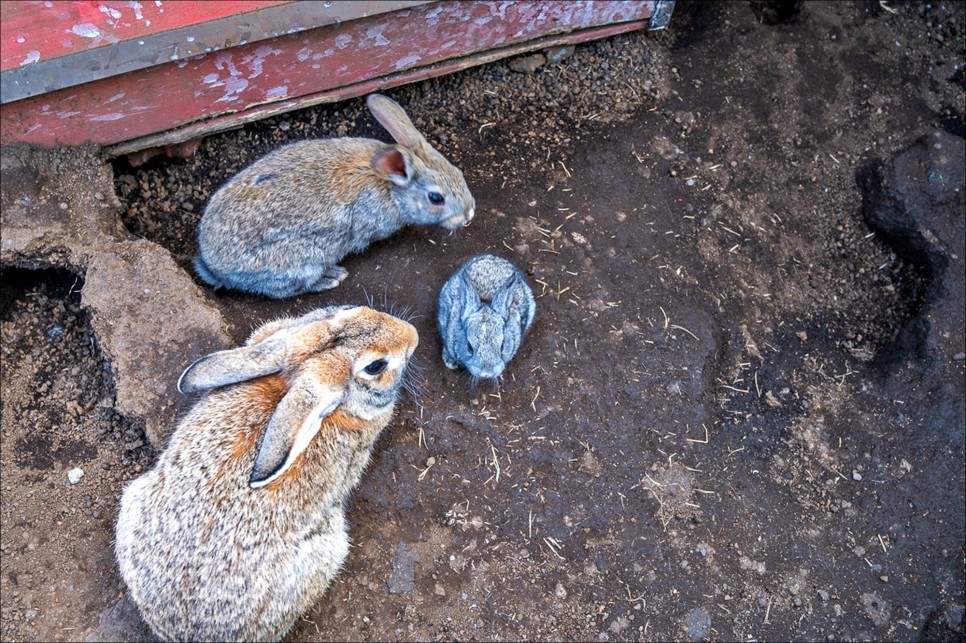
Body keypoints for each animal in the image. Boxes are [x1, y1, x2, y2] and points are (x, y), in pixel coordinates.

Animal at [194, 93, 476, 300]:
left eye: (458, 172)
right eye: (436, 198)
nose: (468, 215)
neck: (390, 186)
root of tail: (212, 266)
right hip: (297, 264)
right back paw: (330, 278)